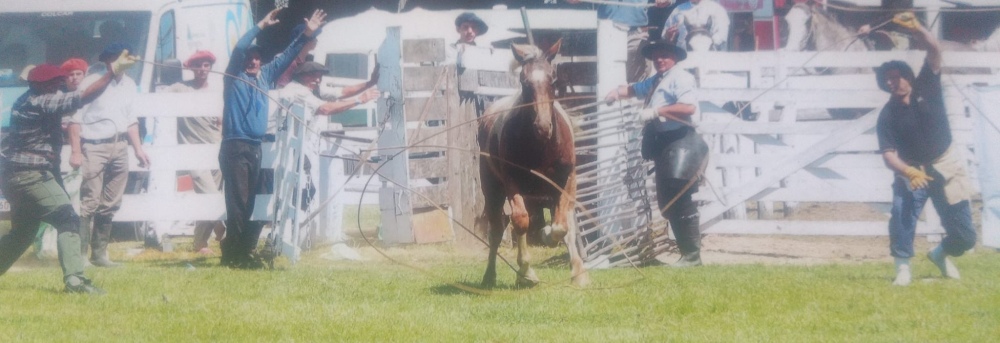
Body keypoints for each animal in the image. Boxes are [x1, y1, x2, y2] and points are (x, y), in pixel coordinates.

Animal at [474, 39, 584, 288]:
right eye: (524, 82)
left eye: (552, 79)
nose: (543, 127)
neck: (542, 146)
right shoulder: (512, 182)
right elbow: (521, 221)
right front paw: (526, 271)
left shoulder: (566, 180)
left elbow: (563, 226)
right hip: (493, 190)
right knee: (498, 229)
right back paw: (490, 276)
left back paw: (577, 270)